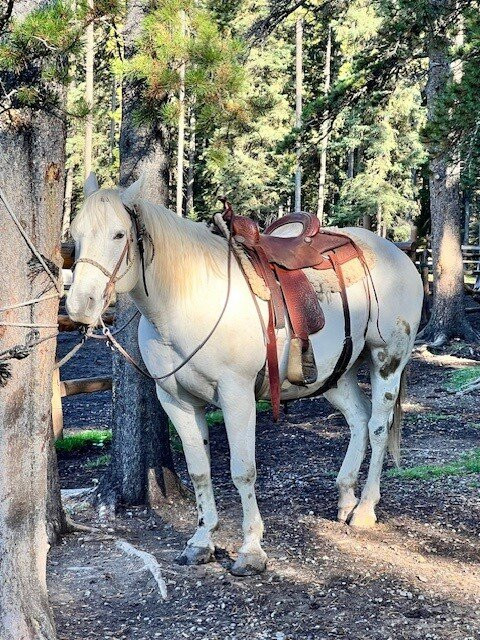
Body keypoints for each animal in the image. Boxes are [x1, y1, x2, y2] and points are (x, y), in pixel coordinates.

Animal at [66, 174, 420, 576]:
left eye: (119, 234)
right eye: (75, 234)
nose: (79, 305)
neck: (186, 301)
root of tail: (399, 255)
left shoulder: (236, 396)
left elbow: (242, 471)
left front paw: (251, 551)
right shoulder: (176, 401)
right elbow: (200, 470)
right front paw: (200, 541)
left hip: (387, 360)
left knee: (378, 426)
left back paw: (365, 509)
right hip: (335, 373)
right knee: (359, 419)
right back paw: (346, 497)